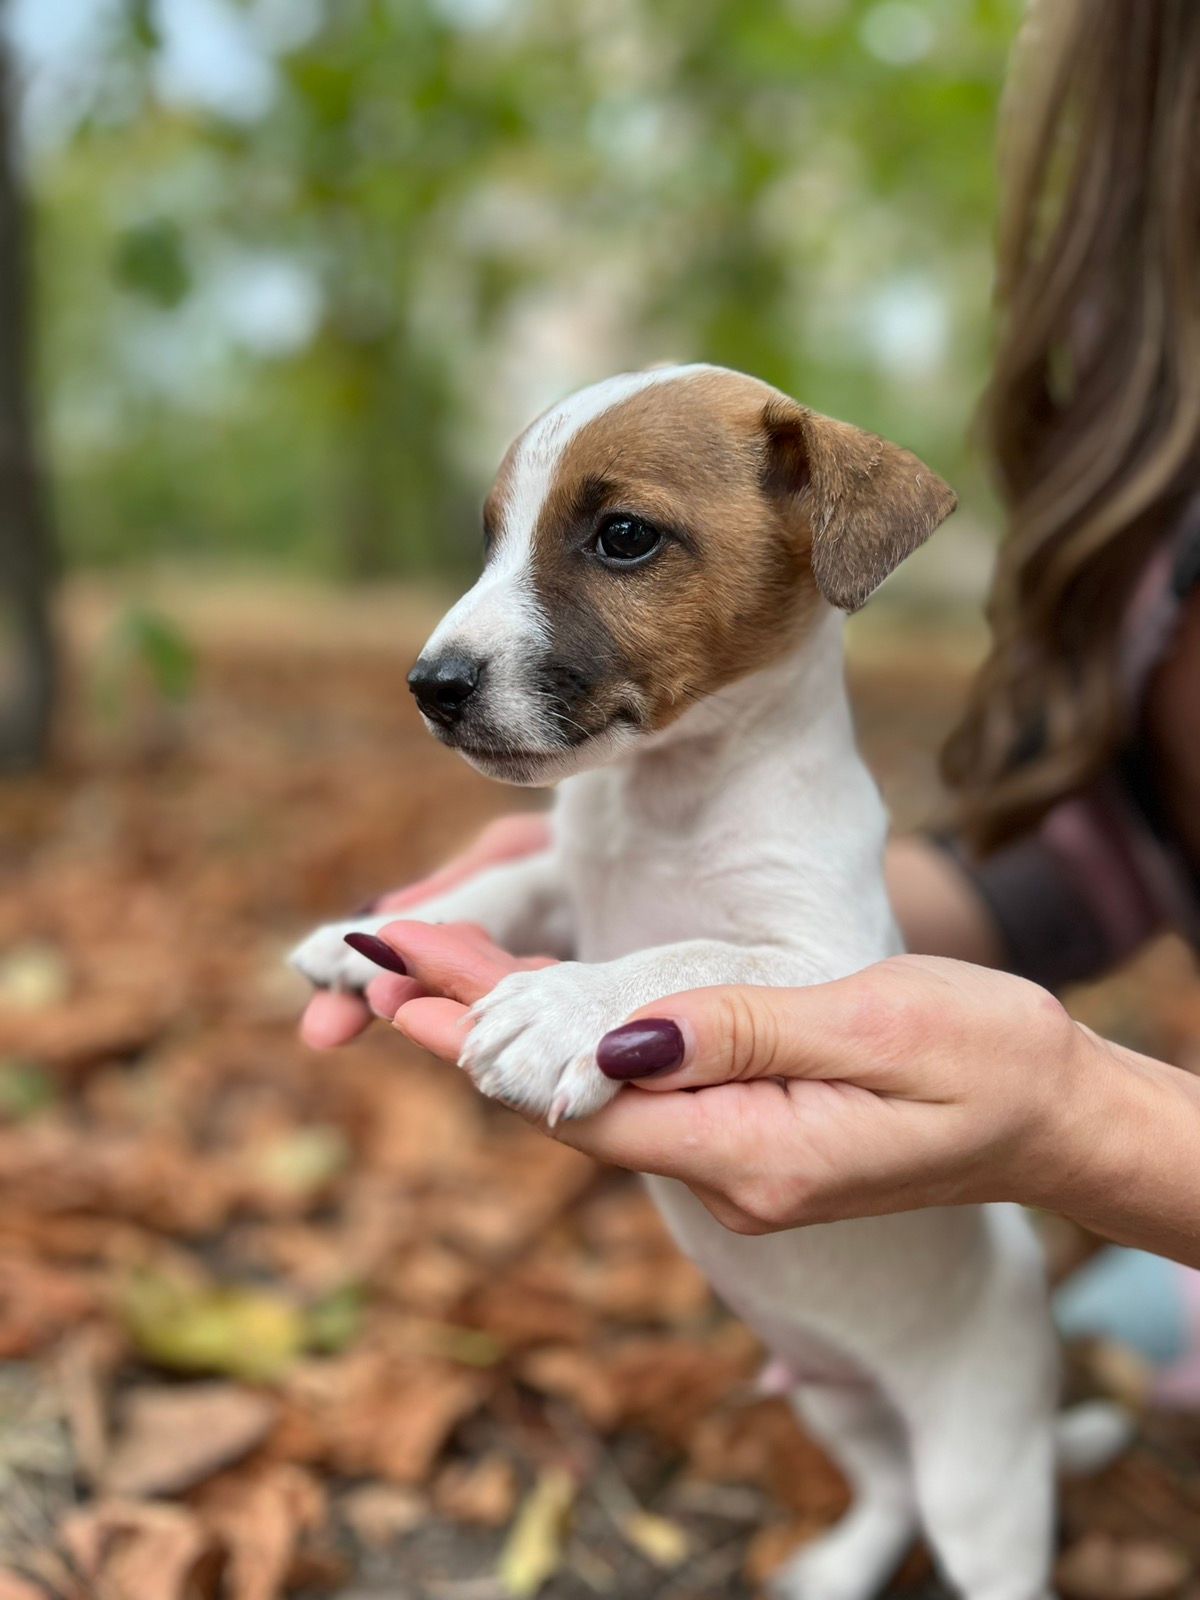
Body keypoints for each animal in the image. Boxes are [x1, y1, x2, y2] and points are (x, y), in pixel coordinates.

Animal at [291, 366, 1107, 1600]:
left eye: (624, 536)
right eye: (490, 536)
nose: (430, 686)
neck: (668, 795)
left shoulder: (825, 959)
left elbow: (694, 955)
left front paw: (564, 1009)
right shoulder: (569, 882)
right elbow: (515, 882)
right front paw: (376, 932)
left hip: (982, 1472)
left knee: (968, 1529)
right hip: (834, 1404)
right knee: (887, 1491)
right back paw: (834, 1568)